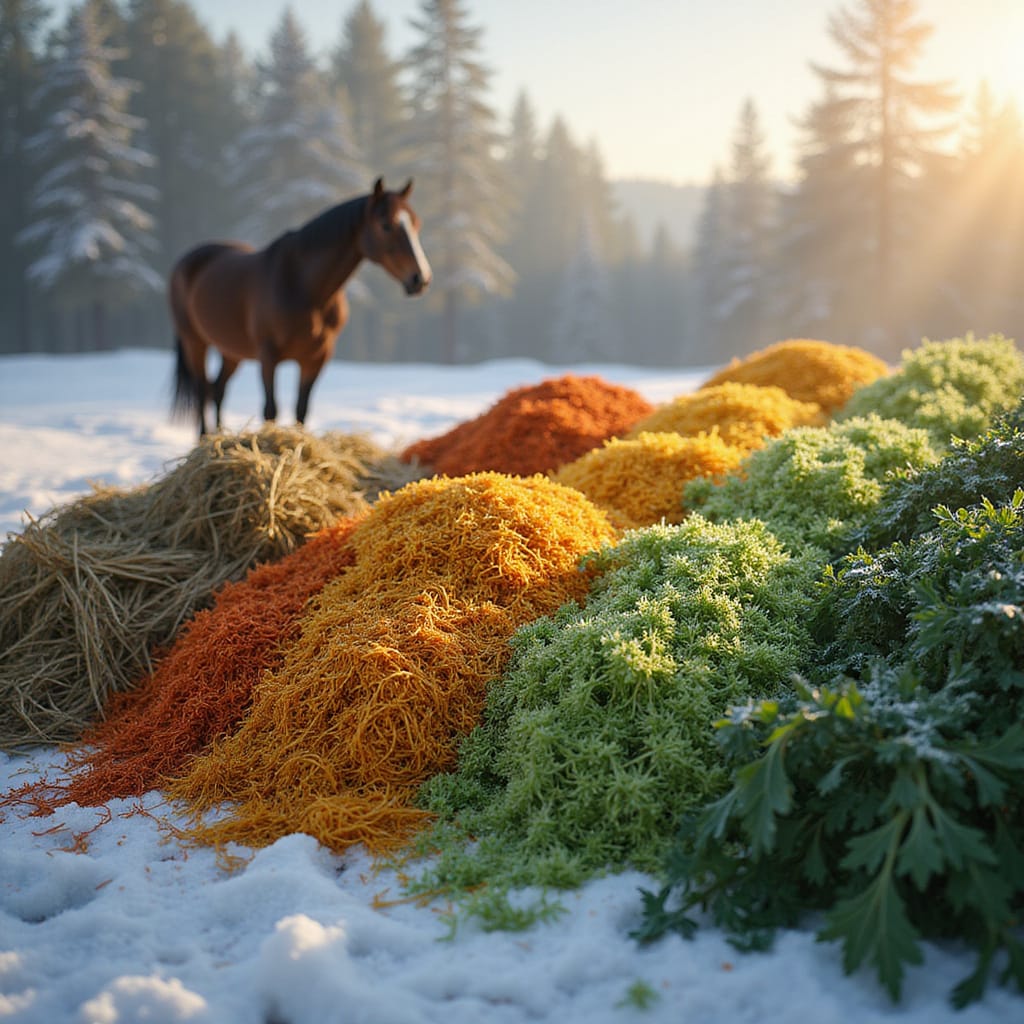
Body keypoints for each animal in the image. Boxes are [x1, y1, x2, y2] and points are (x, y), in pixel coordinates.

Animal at [169, 178, 432, 437]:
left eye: (416, 224)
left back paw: (219, 436)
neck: (304, 289)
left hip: (231, 351)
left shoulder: (315, 358)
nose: (421, 278)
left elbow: (301, 410)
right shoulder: (268, 356)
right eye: (386, 225)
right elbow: (270, 409)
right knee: (202, 390)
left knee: (218, 389)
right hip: (195, 342)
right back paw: (205, 438)